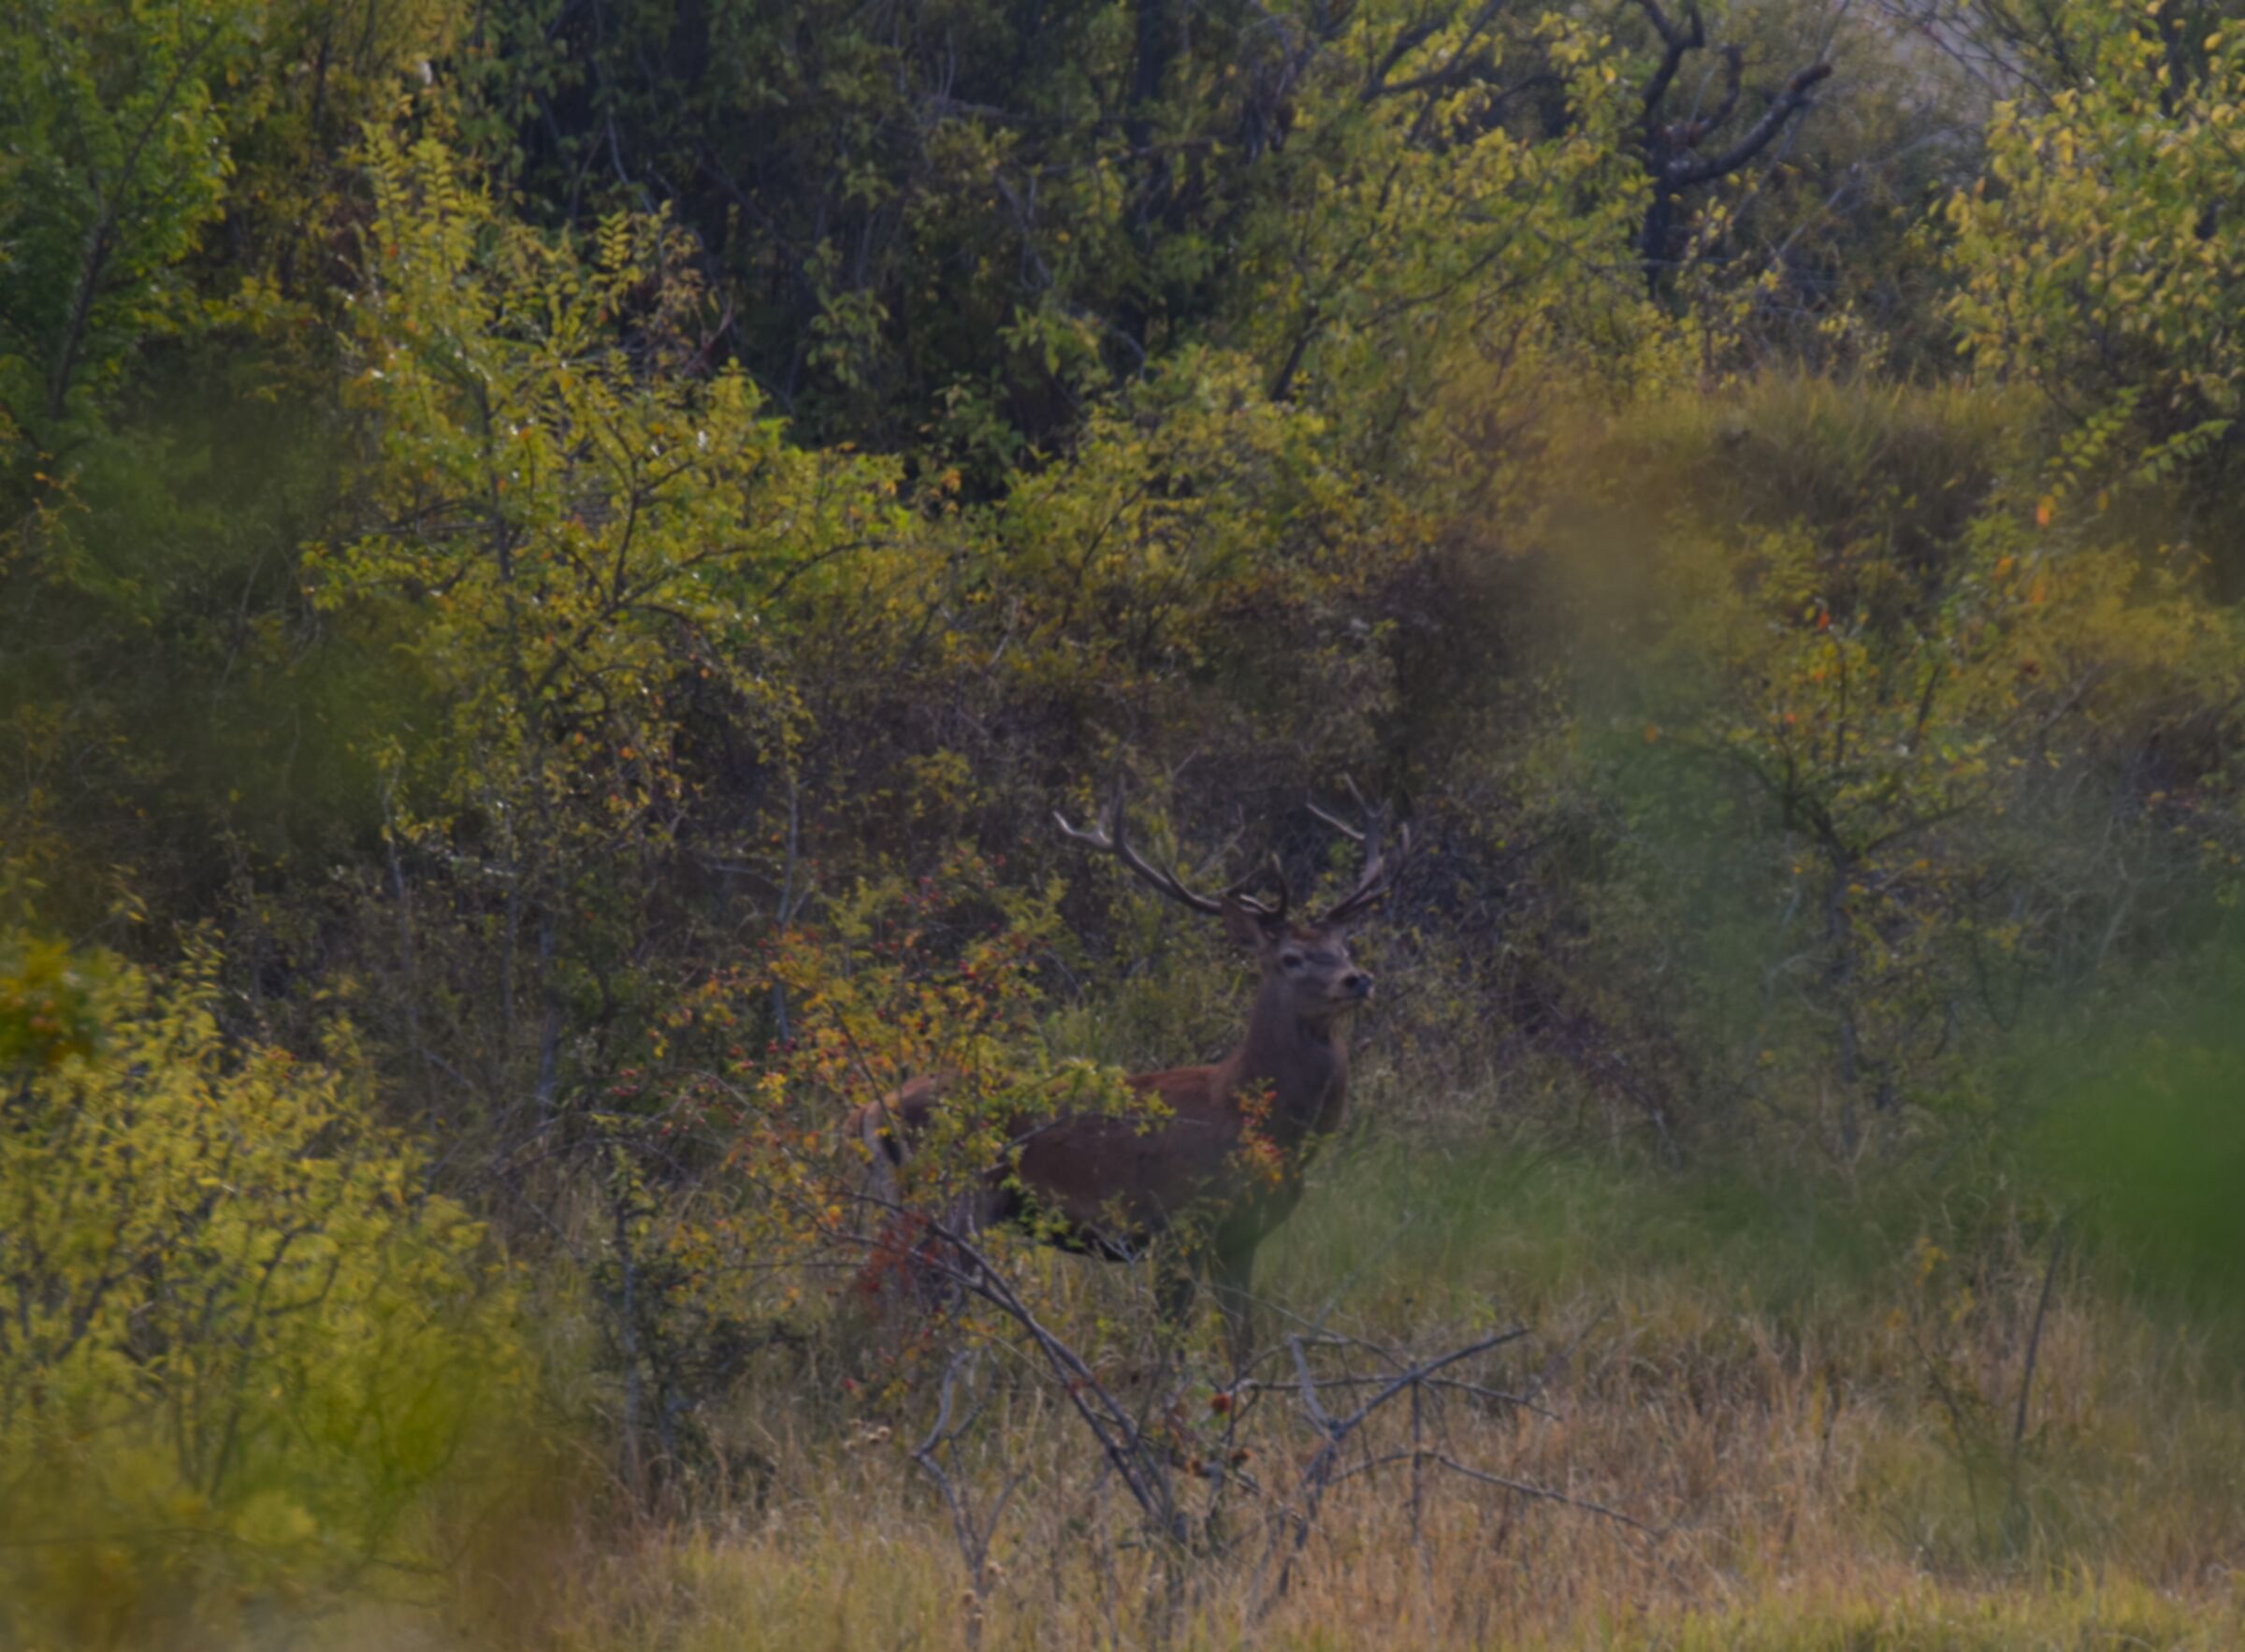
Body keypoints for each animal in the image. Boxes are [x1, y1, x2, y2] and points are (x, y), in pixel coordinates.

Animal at [845, 787, 1411, 1374]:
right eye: (1291, 957)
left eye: (1344, 948)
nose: (1357, 979)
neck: (1254, 1118)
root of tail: (869, 1110)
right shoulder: (1179, 1221)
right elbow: (1168, 1342)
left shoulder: (1240, 1236)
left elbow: (1241, 1339)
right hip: (951, 1195)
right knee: (893, 1288)